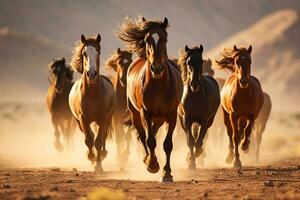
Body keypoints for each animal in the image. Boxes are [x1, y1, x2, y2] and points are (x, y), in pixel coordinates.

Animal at [68, 34, 115, 172]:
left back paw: (103, 154)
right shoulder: (83, 119)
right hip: (79, 122)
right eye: (84, 53)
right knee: (90, 135)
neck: (92, 93)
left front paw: (98, 164)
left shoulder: (104, 118)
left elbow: (99, 141)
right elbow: (89, 139)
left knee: (103, 136)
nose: (92, 74)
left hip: (107, 119)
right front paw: (91, 157)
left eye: (98, 52)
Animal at [117, 16, 183, 182]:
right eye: (147, 40)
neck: (158, 85)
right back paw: (147, 159)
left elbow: (167, 144)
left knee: (152, 131)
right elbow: (150, 140)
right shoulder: (145, 113)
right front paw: (152, 165)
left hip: (159, 118)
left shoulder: (171, 115)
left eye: (165, 39)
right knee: (142, 135)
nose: (157, 68)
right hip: (136, 114)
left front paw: (167, 173)